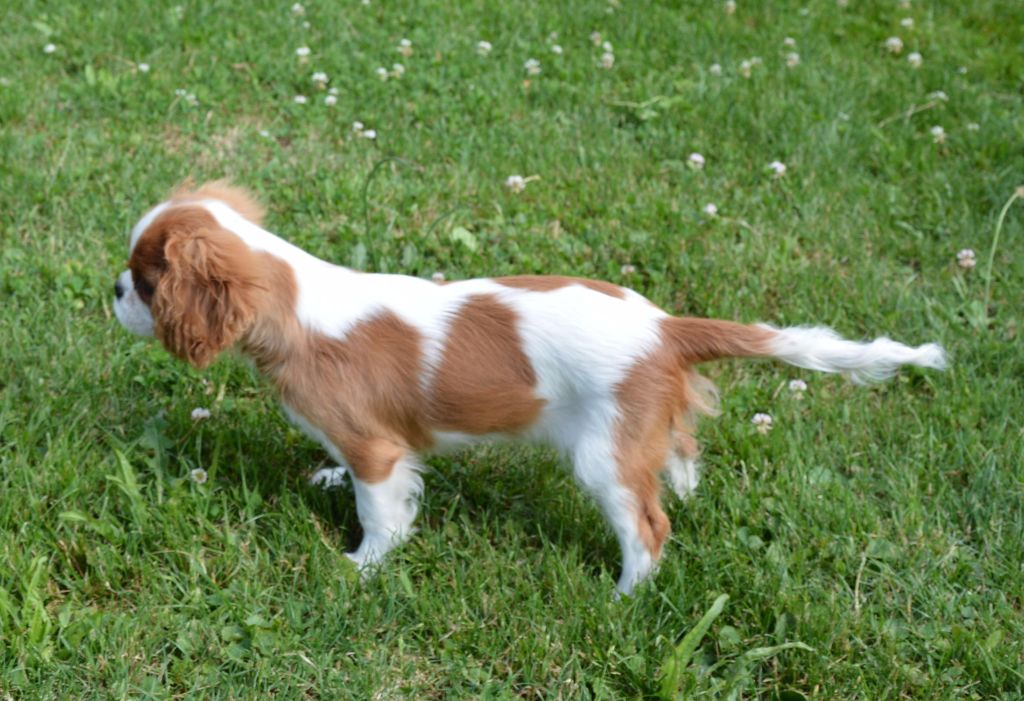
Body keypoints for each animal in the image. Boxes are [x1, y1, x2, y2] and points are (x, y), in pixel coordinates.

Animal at [114, 180, 942, 589]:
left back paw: (624, 594)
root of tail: (666, 326)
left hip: (603, 456)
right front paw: (327, 477)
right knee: (675, 457)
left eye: (147, 282)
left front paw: (362, 567)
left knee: (648, 527)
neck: (295, 299)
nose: (112, 289)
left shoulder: (378, 449)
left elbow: (381, 511)